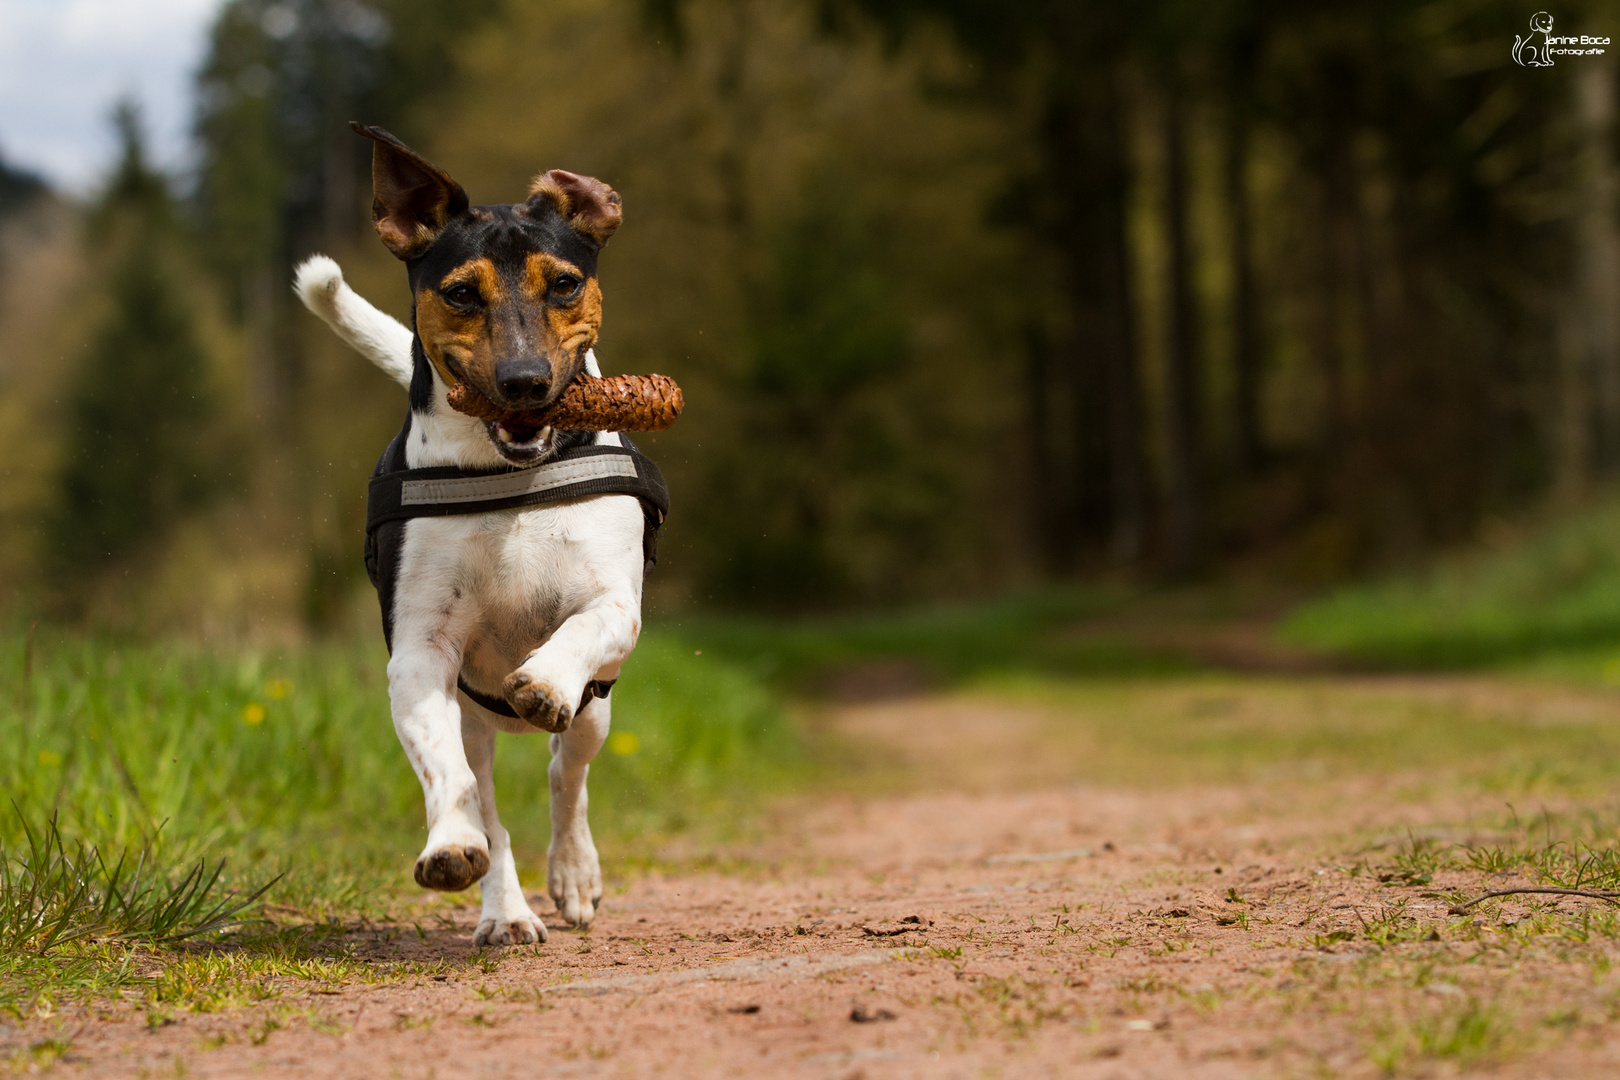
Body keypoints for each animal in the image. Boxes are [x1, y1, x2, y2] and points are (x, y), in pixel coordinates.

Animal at [301, 124, 660, 945]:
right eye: (462, 292)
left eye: (564, 284)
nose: (524, 382)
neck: (507, 477)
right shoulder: (420, 654)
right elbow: (452, 777)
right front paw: (452, 846)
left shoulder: (615, 606)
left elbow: (583, 629)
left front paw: (544, 679)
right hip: (472, 714)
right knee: (491, 797)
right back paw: (506, 911)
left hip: (599, 709)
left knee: (567, 771)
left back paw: (573, 873)